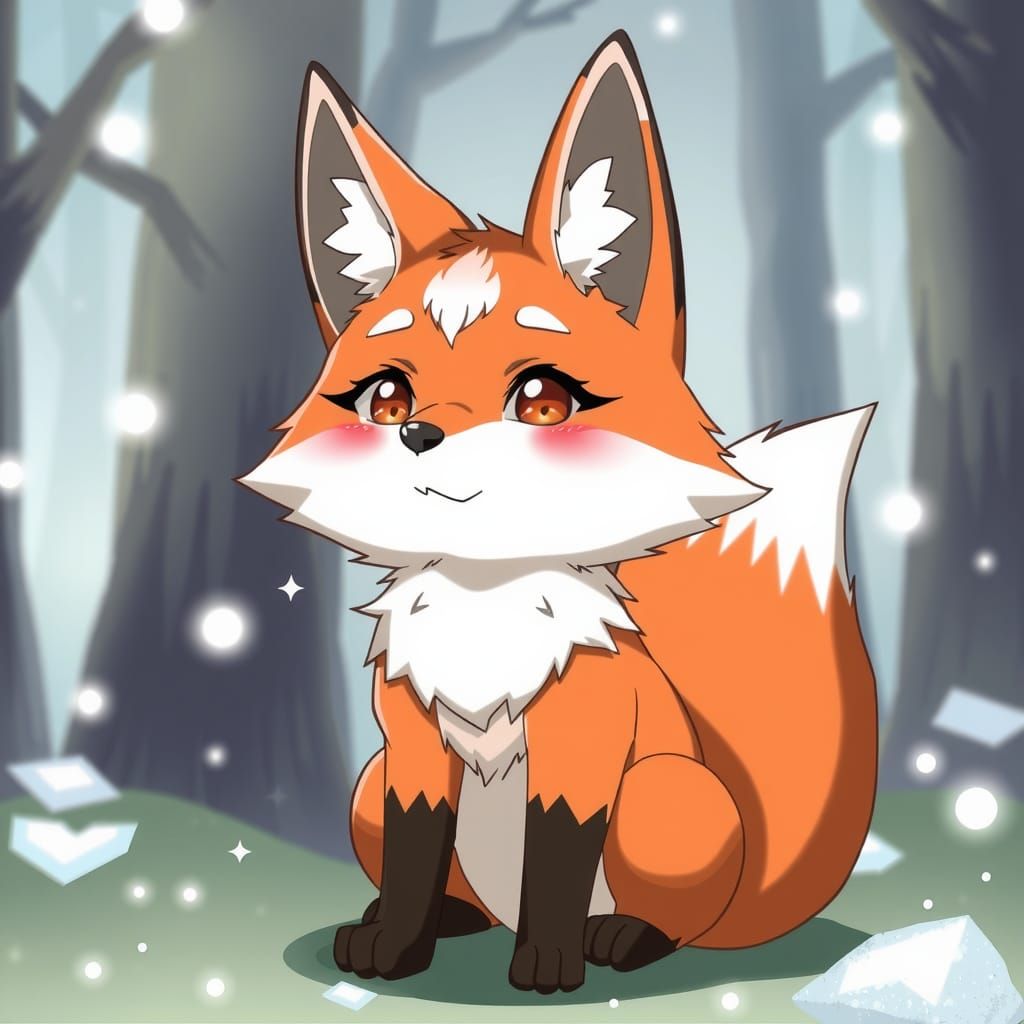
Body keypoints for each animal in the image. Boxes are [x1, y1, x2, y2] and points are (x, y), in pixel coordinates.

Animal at [241, 30, 877, 994]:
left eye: (542, 400)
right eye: (387, 399)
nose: (419, 435)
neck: (481, 614)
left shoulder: (581, 750)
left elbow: (558, 863)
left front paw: (547, 965)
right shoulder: (412, 756)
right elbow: (415, 861)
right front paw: (397, 947)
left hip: (663, 794)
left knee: (675, 922)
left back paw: (621, 939)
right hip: (368, 784)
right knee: (450, 885)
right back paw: (440, 921)